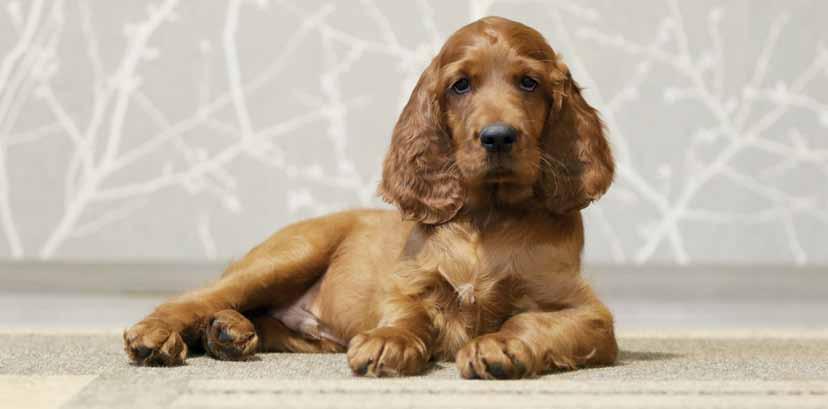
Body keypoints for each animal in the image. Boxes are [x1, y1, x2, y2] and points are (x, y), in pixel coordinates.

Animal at [124, 16, 617, 379]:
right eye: (461, 85)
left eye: (528, 82)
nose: (498, 137)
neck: (487, 218)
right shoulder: (410, 283)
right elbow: (406, 315)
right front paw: (388, 341)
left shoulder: (588, 313)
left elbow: (532, 319)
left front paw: (503, 343)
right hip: (290, 254)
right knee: (197, 298)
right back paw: (160, 335)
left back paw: (226, 332)